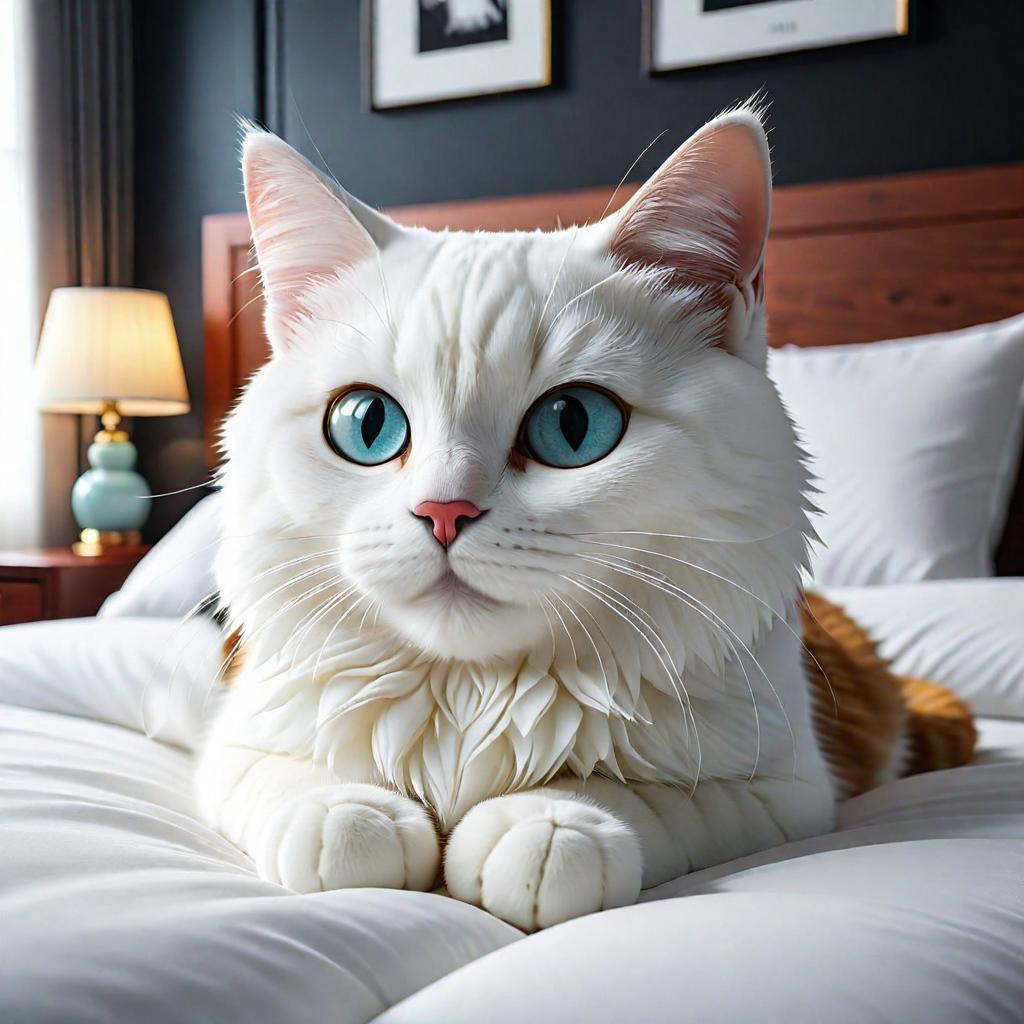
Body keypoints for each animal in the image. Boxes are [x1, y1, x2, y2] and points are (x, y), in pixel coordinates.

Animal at [195, 105, 835, 937]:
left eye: (574, 425)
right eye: (366, 425)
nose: (444, 512)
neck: (472, 695)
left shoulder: (787, 791)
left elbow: (649, 792)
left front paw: (550, 823)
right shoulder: (233, 743)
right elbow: (284, 776)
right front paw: (349, 813)